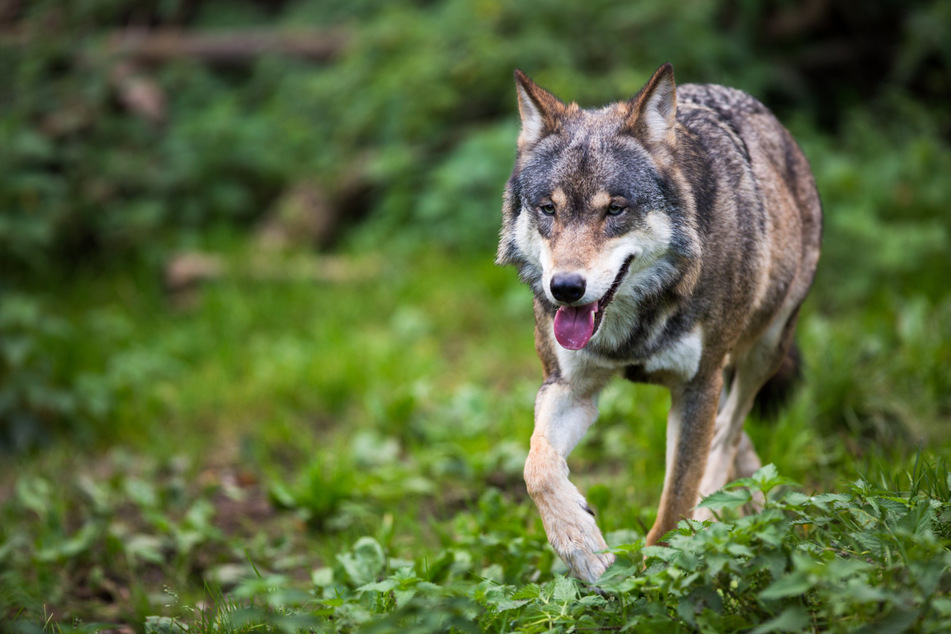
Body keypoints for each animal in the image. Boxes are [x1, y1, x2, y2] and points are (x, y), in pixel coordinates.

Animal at [494, 64, 820, 584]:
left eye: (615, 209)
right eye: (549, 209)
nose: (564, 288)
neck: (632, 327)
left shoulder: (698, 385)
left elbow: (675, 503)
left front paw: (662, 574)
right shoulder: (569, 387)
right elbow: (537, 467)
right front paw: (582, 546)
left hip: (762, 351)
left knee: (727, 432)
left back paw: (715, 516)